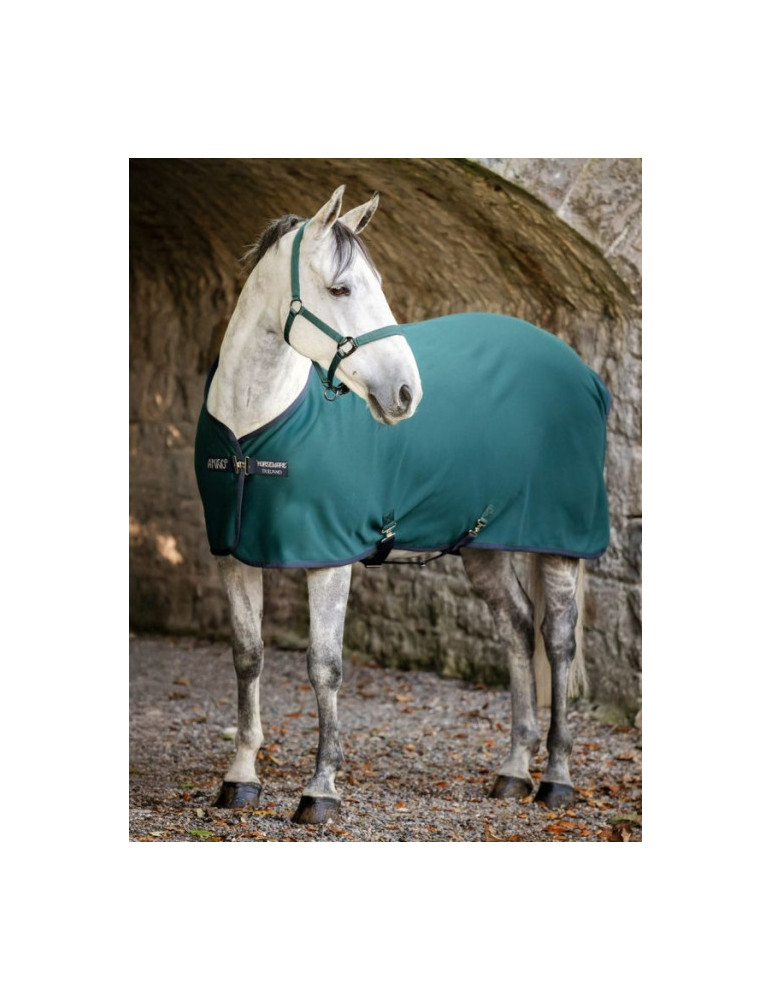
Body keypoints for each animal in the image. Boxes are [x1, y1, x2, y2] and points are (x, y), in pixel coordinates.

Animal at [195, 185, 610, 825]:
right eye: (341, 289)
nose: (406, 394)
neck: (253, 427)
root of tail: (583, 372)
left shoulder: (329, 559)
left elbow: (324, 666)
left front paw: (321, 789)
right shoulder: (233, 555)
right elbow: (247, 657)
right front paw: (240, 778)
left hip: (561, 544)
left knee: (557, 642)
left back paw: (557, 780)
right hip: (484, 545)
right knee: (517, 629)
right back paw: (513, 770)